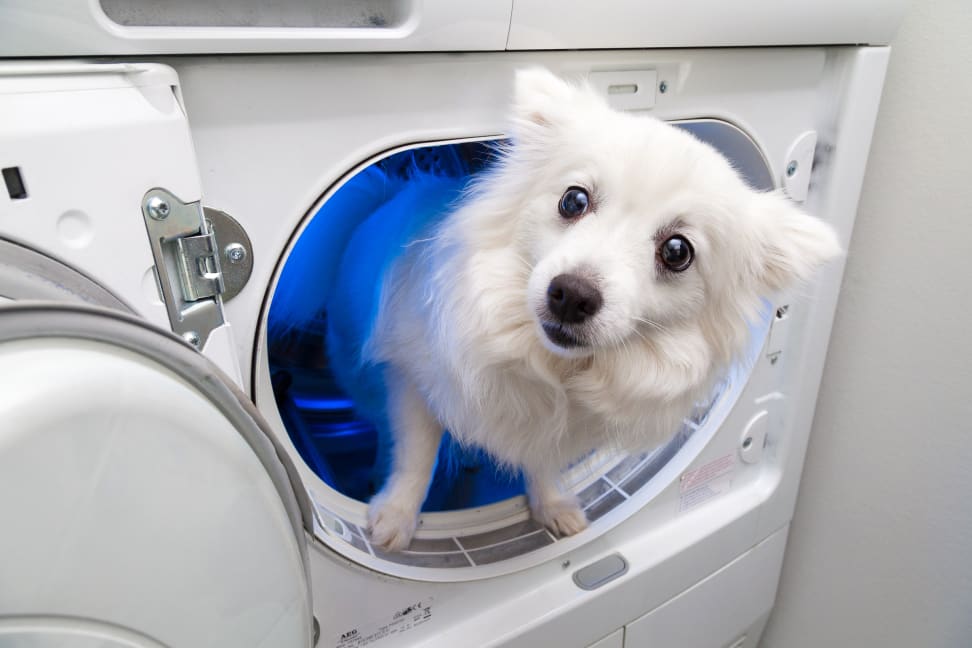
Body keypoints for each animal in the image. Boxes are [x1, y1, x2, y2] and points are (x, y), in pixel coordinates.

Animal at [360, 68, 840, 548]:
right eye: (573, 200)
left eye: (677, 251)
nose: (572, 294)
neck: (555, 368)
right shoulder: (410, 378)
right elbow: (417, 454)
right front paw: (397, 516)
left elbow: (543, 459)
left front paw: (552, 504)